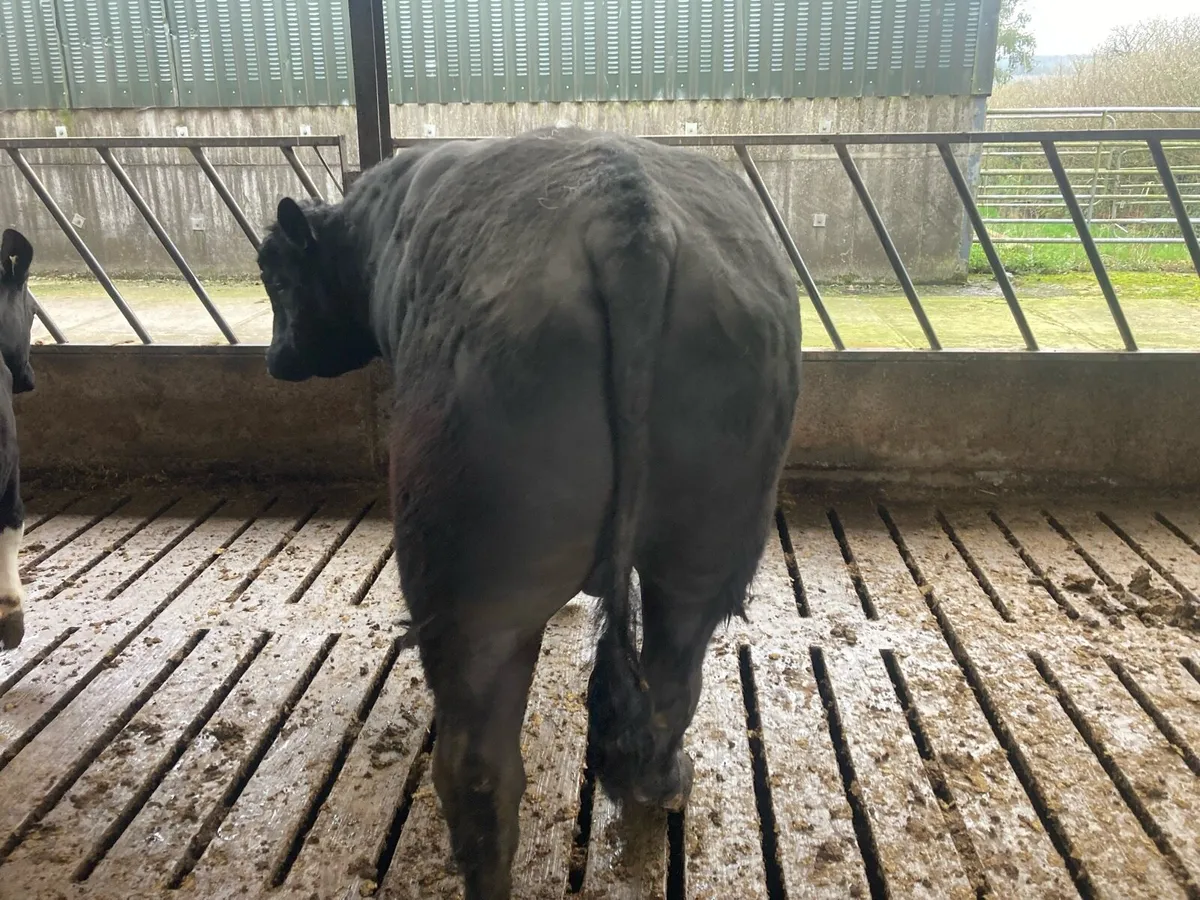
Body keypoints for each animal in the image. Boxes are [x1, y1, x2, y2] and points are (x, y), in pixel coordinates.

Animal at [258, 127, 801, 899]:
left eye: (274, 272)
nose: (276, 359)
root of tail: (629, 215)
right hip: (705, 548)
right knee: (673, 679)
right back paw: (663, 784)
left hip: (473, 585)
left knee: (478, 769)